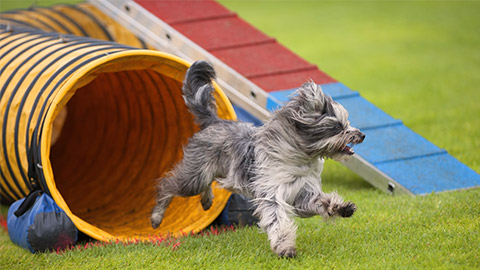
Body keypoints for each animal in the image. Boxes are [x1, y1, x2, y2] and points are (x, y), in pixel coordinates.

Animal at [152, 60, 366, 258]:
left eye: (347, 123)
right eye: (338, 127)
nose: (362, 135)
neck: (299, 157)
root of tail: (216, 121)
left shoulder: (302, 194)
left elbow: (322, 201)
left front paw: (341, 207)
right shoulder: (272, 194)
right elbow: (277, 220)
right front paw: (284, 248)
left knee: (207, 183)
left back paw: (206, 201)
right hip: (195, 177)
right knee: (167, 186)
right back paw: (156, 216)